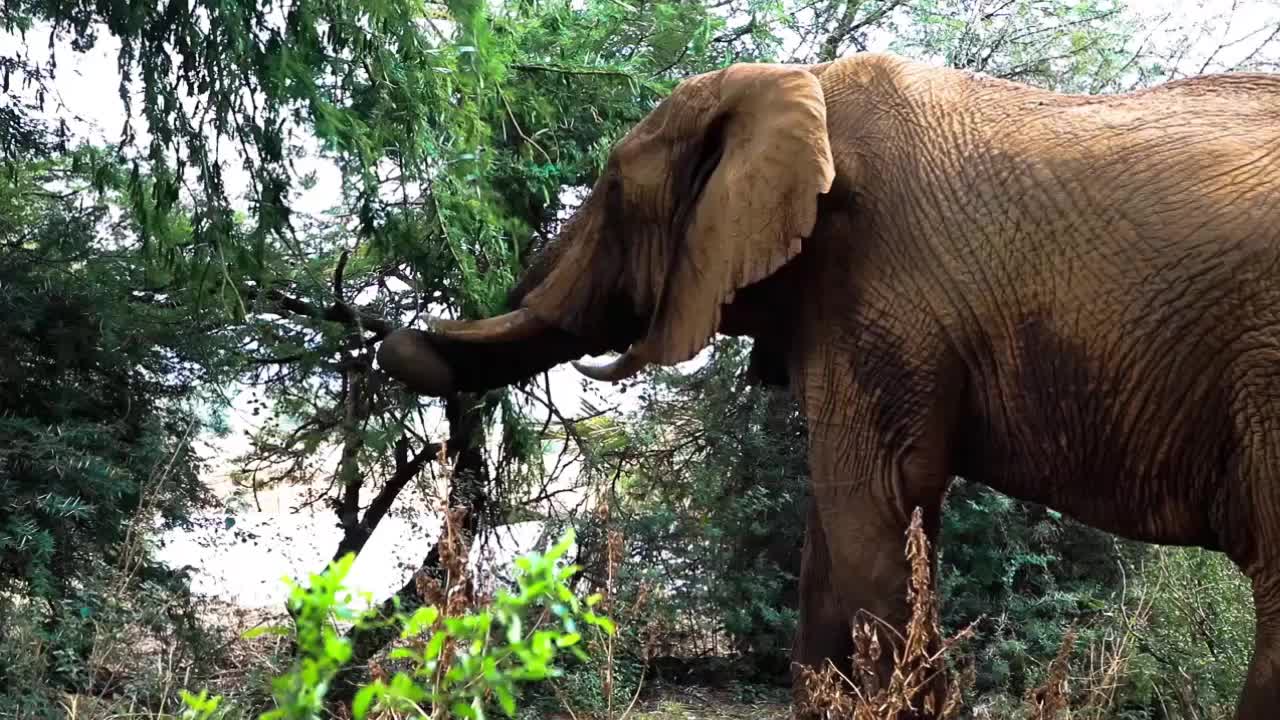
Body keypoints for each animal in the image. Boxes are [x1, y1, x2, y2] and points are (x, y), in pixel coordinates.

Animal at [373, 53, 1280, 712]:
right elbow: (833, 533)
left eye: (614, 188)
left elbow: (870, 504)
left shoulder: (877, 286)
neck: (793, 83)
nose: (384, 336)